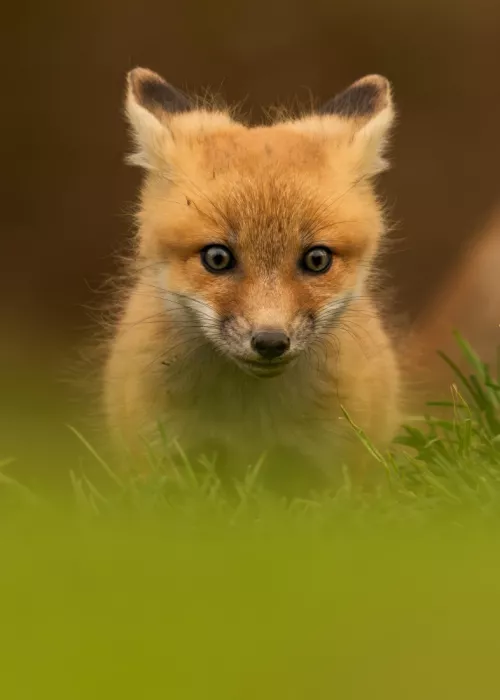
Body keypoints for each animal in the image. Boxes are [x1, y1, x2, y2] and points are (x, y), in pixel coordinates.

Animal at [103, 67, 401, 489]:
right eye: (217, 258)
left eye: (316, 259)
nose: (271, 342)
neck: (252, 421)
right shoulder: (160, 458)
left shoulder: (340, 468)